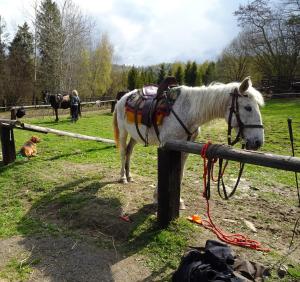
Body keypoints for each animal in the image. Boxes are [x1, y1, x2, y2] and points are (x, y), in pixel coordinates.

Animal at [113, 77, 264, 209]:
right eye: (248, 108)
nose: (258, 142)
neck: (188, 111)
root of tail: (123, 98)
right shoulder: (166, 146)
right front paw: (157, 197)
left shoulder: (184, 148)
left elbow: (180, 173)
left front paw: (178, 201)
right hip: (123, 131)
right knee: (123, 153)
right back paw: (123, 177)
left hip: (134, 135)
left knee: (129, 152)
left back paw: (129, 176)